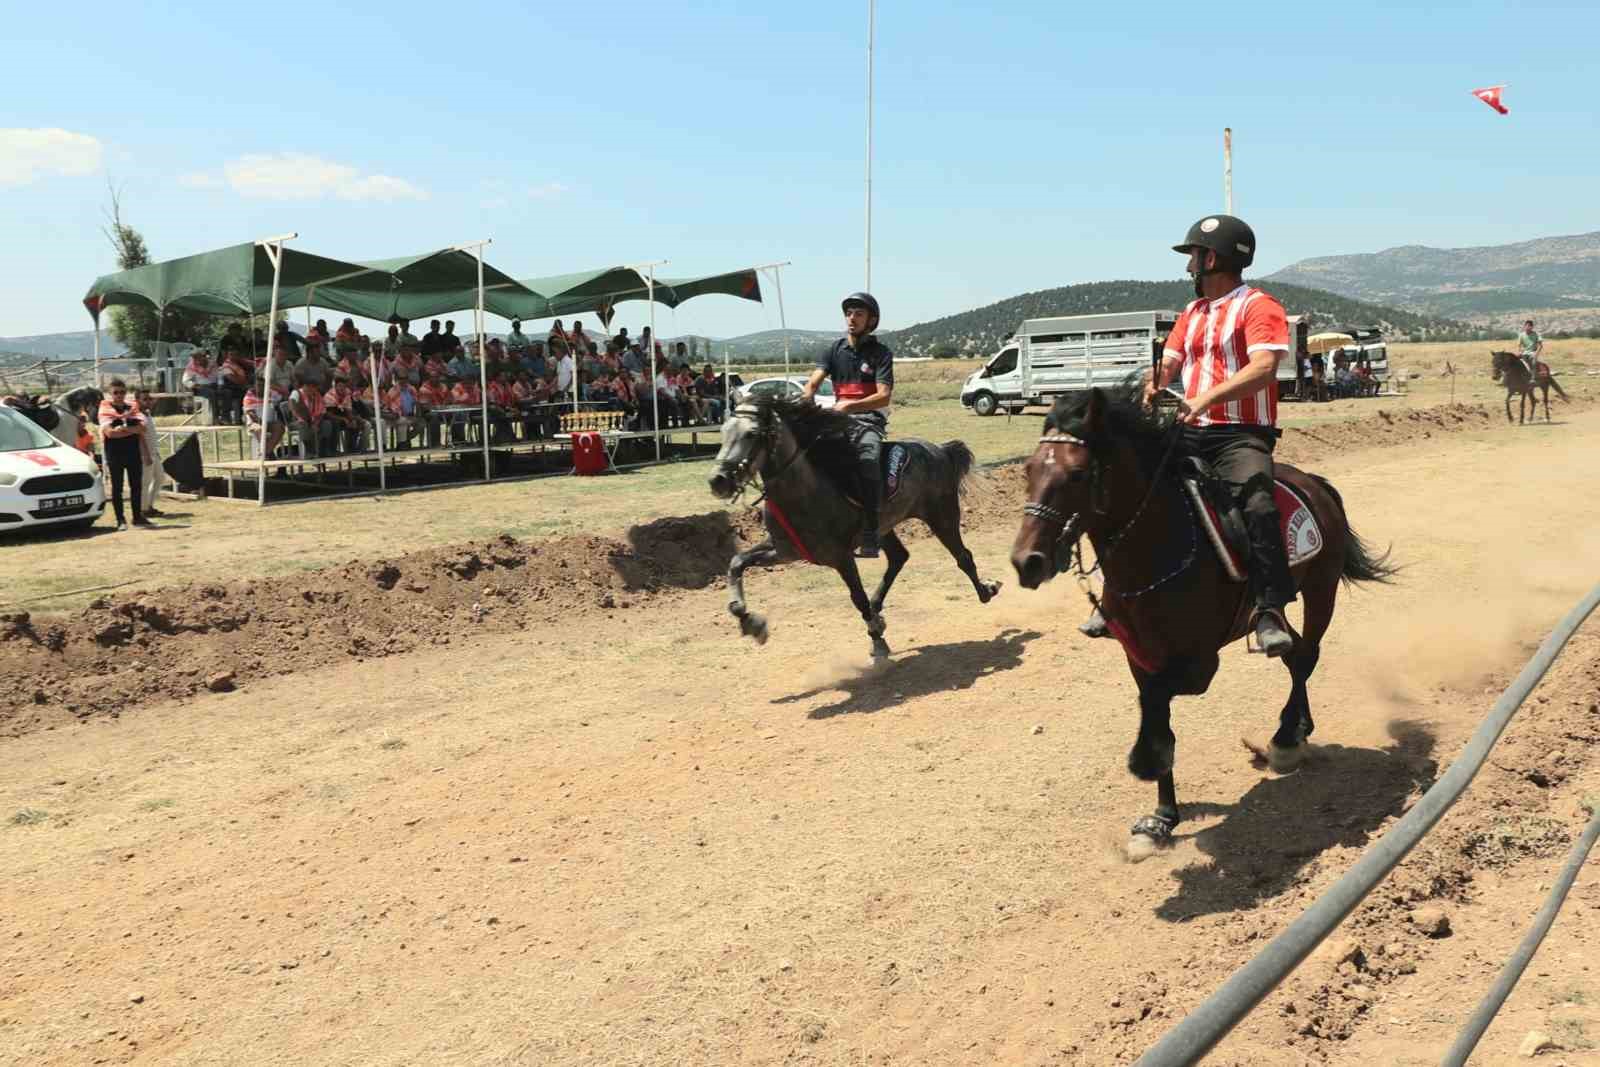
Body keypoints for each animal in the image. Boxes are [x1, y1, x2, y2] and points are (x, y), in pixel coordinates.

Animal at [710, 395, 998, 659]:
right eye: (724, 431)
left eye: (751, 434)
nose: (718, 480)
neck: (804, 492)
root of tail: (940, 449)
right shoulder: (784, 551)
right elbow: (736, 562)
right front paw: (750, 621)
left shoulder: (841, 557)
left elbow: (857, 597)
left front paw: (877, 638)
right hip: (884, 528)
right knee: (899, 557)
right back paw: (878, 607)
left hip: (942, 516)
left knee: (963, 556)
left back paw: (986, 591)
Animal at [1011, 388, 1401, 863]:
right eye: (1029, 470)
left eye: (1078, 474)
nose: (1027, 562)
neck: (1160, 546)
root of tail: (1312, 482)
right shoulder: (1140, 655)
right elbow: (1156, 711)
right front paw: (1160, 819)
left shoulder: (1199, 665)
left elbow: (1158, 707)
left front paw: (1145, 761)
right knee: (1291, 654)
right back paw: (1297, 729)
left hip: (1320, 589)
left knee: (1306, 655)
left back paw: (1285, 739)